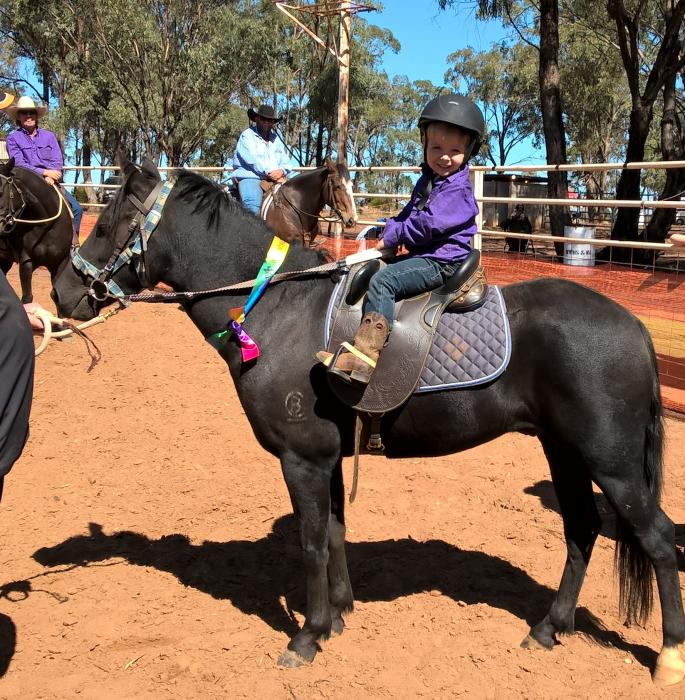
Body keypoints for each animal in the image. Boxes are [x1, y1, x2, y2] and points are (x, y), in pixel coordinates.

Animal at [52, 158, 685, 687]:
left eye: (108, 225)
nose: (60, 291)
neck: (278, 309)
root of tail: (635, 327)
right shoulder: (327, 459)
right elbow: (334, 532)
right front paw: (337, 616)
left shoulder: (302, 459)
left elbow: (310, 542)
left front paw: (306, 637)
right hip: (565, 451)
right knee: (582, 530)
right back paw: (549, 628)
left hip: (613, 462)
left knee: (657, 541)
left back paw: (669, 656)